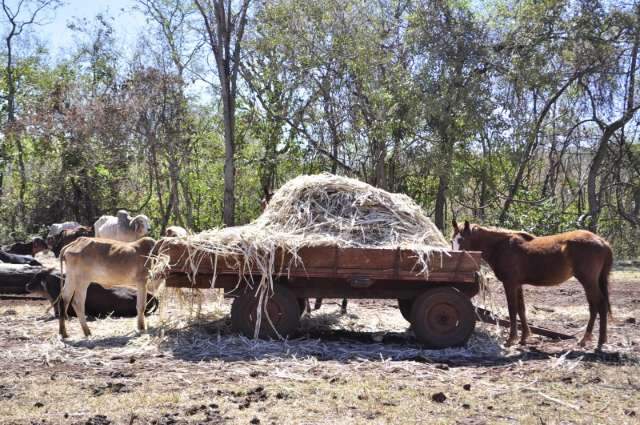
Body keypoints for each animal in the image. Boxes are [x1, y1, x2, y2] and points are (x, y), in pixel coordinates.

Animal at [448, 220, 612, 346]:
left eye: (462, 240)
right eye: (452, 240)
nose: (454, 257)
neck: (501, 246)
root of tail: (602, 241)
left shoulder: (510, 283)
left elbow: (512, 309)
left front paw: (511, 339)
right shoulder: (518, 284)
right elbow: (521, 309)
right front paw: (524, 338)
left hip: (588, 281)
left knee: (597, 305)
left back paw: (590, 340)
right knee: (598, 306)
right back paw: (599, 340)